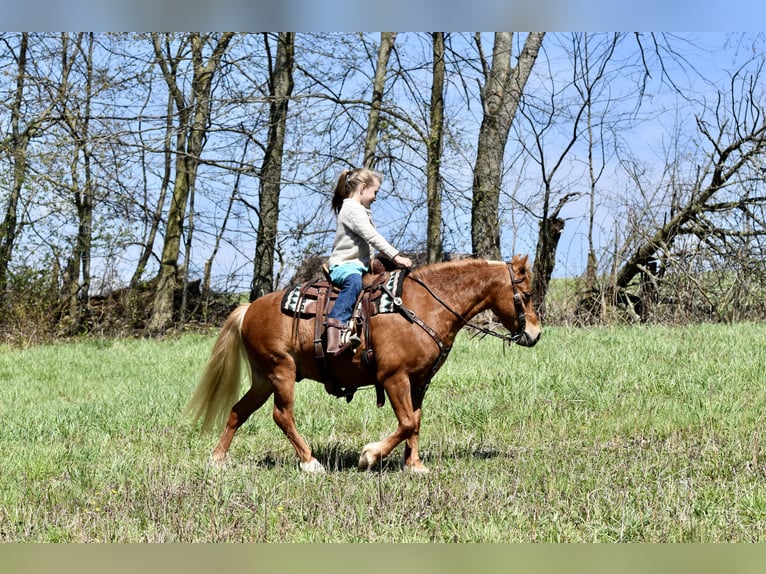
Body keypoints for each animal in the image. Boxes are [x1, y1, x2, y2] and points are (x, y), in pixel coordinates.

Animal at [185, 255, 541, 474]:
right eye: (524, 295)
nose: (536, 334)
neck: (425, 306)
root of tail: (249, 309)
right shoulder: (394, 377)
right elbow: (407, 423)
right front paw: (370, 455)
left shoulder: (419, 382)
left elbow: (415, 421)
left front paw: (414, 465)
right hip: (280, 372)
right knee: (282, 415)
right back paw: (310, 462)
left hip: (263, 379)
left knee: (238, 411)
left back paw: (217, 459)